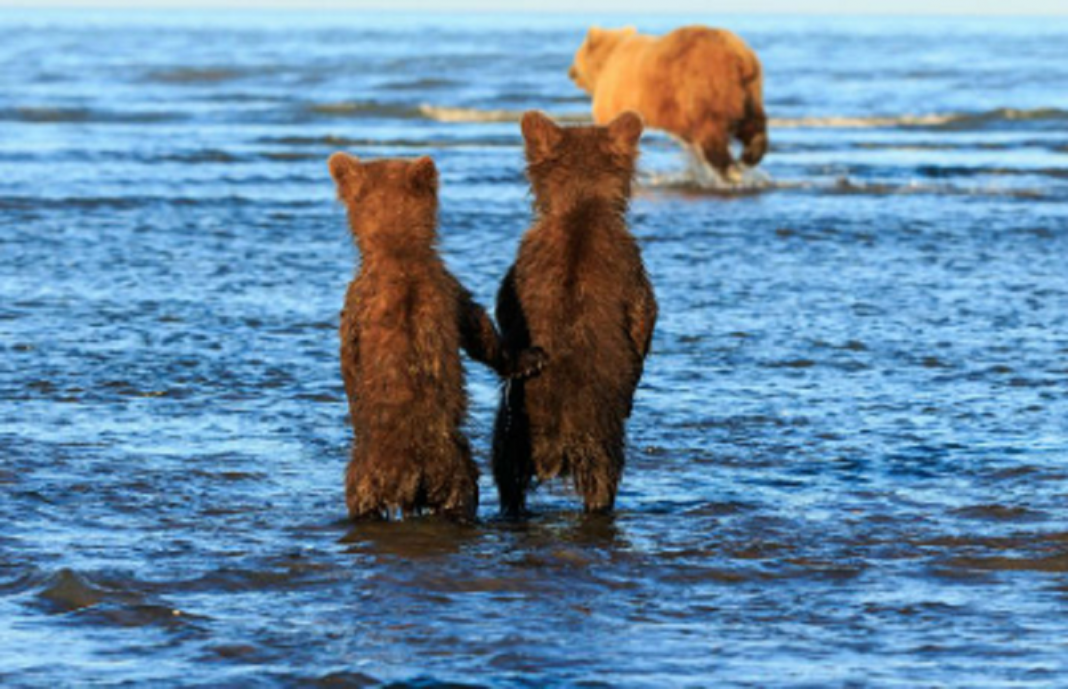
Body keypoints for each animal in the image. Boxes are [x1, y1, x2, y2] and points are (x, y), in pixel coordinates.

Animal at [568, 27, 768, 182]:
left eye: (576, 55)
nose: (570, 71)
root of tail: (739, 56)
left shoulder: (614, 94)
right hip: (749, 90)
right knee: (753, 122)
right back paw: (750, 155)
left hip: (704, 84)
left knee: (712, 129)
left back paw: (729, 169)